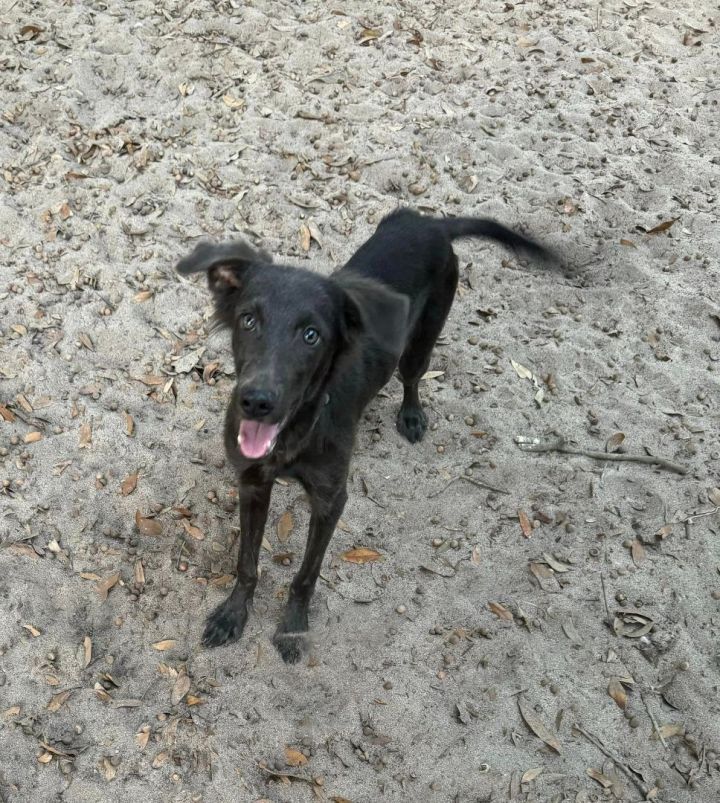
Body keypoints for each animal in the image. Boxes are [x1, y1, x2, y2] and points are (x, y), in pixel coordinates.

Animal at [177, 210, 548, 664]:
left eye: (312, 335)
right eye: (248, 320)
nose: (256, 402)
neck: (298, 431)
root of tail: (431, 223)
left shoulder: (331, 500)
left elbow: (306, 574)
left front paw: (293, 627)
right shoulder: (252, 484)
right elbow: (247, 563)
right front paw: (233, 614)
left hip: (422, 340)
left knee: (413, 377)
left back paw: (411, 415)